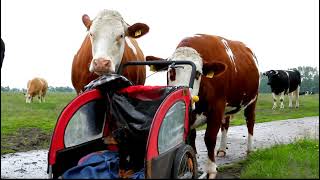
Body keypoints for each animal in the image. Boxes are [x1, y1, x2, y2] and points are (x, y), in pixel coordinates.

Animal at [146, 34, 258, 179]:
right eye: (171, 72)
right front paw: (192, 163)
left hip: (252, 100)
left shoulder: (217, 107)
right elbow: (191, 139)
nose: (185, 95)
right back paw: (222, 149)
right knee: (225, 124)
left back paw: (249, 149)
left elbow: (209, 138)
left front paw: (210, 169)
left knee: (250, 122)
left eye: (198, 73)